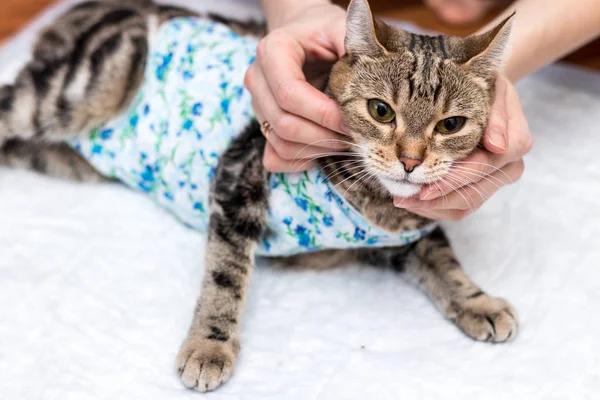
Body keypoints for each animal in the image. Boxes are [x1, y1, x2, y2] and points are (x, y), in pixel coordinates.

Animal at [0, 0, 516, 392]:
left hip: (64, 156)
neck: (375, 203)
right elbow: (225, 274)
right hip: (77, 93)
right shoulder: (237, 177)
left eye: (451, 124)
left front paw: (479, 302)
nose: (410, 160)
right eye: (381, 111)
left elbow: (444, 260)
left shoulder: (403, 232)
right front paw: (209, 345)